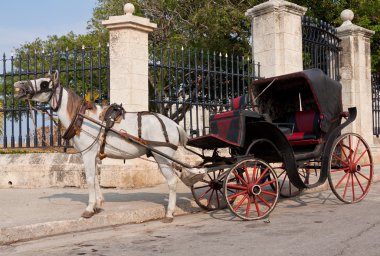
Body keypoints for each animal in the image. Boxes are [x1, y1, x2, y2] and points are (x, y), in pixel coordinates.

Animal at [13, 70, 196, 222]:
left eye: (44, 83)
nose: (19, 84)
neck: (83, 118)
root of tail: (174, 124)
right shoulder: (93, 155)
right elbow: (95, 178)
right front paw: (98, 204)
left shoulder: (87, 154)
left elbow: (89, 179)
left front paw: (89, 208)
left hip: (162, 157)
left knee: (172, 181)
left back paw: (169, 213)